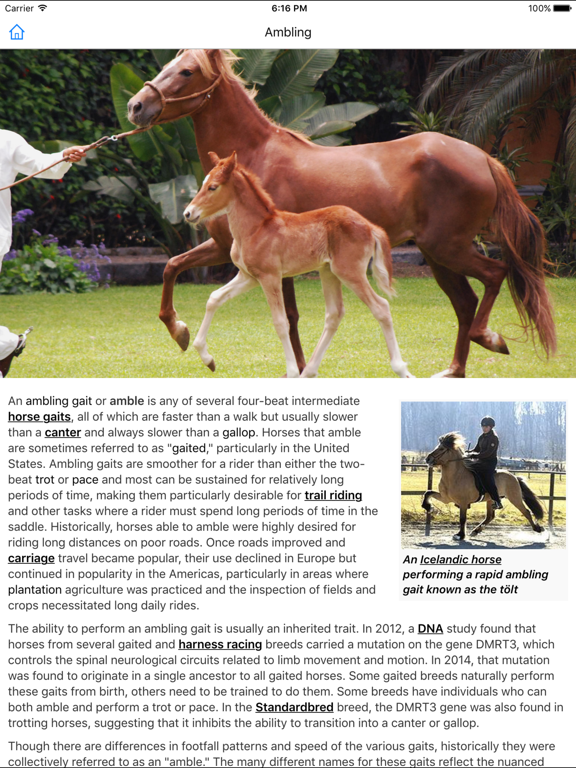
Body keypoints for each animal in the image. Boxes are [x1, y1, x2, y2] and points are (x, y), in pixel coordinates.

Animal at [183, 151, 413, 379]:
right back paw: (309, 372)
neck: (256, 229)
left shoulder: (270, 277)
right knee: (334, 314)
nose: (188, 213)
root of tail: (370, 226)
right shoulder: (248, 276)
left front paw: (292, 371)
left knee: (380, 307)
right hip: (328, 272)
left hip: (350, 272)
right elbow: (214, 298)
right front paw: (207, 358)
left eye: (213, 187)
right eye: (202, 184)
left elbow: (280, 322)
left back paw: (401, 369)